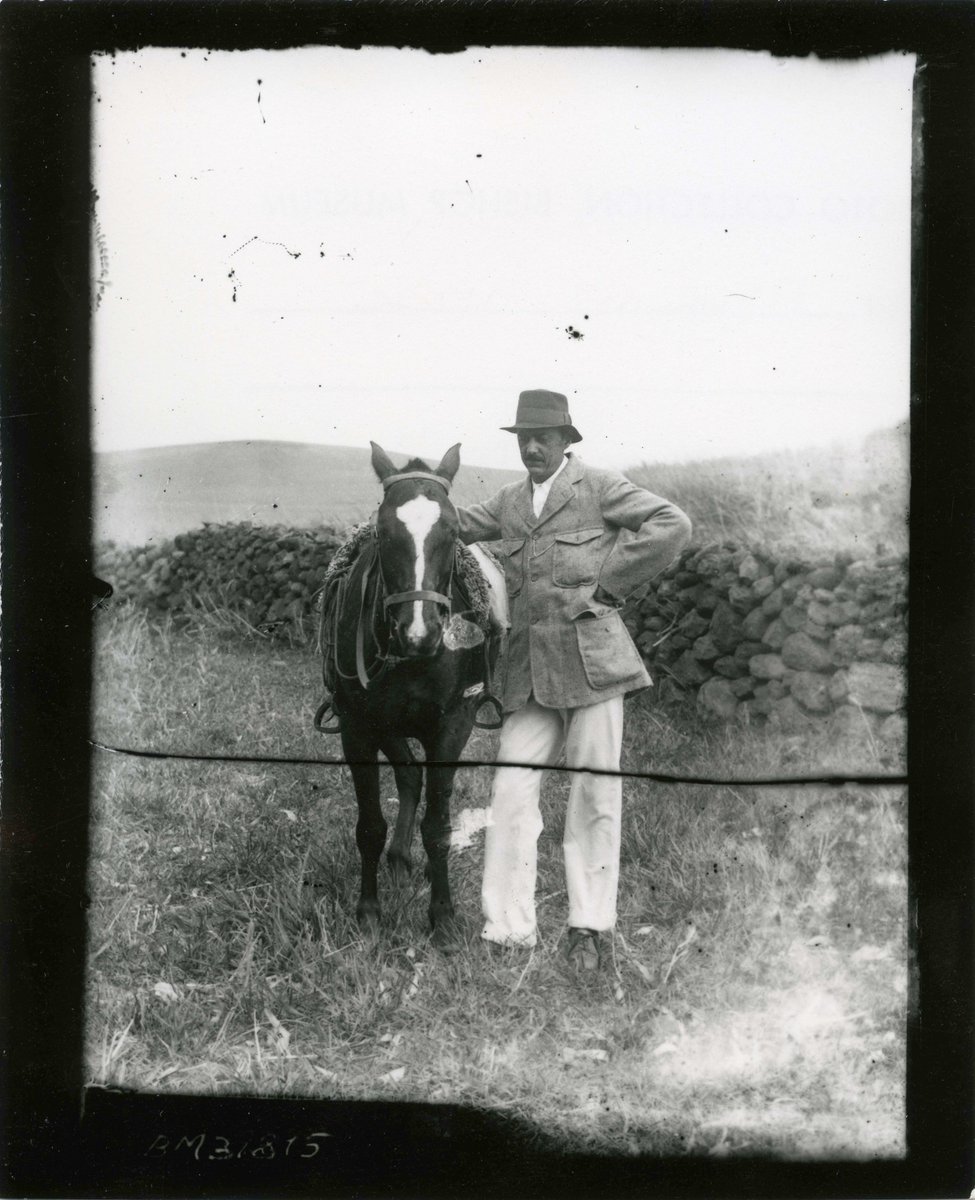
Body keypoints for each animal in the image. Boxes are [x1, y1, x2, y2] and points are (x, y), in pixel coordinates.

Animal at [316, 444, 506, 945]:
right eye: (383, 531)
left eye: (453, 530)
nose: (419, 633)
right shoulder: (359, 728)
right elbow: (369, 826)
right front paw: (368, 911)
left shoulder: (452, 727)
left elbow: (437, 827)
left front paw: (442, 916)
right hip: (387, 726)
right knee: (407, 776)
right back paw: (398, 857)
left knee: (413, 778)